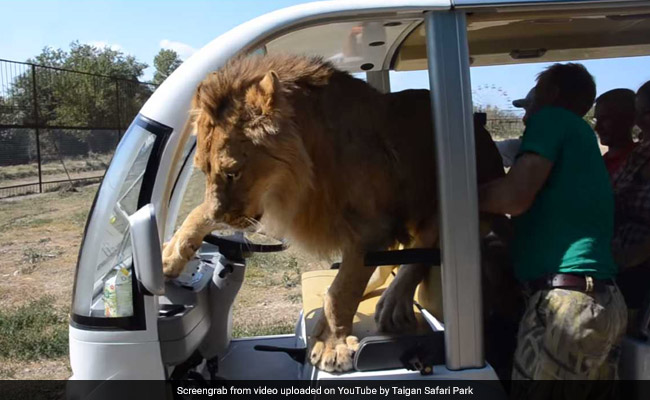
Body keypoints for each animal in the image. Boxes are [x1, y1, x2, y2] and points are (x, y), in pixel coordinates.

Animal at [162, 54, 506, 373]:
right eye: (202, 170)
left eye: (233, 172)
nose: (225, 220)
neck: (306, 168)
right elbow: (200, 210)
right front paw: (169, 256)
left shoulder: (372, 230)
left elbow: (341, 292)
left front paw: (333, 346)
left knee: (423, 252)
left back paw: (392, 304)